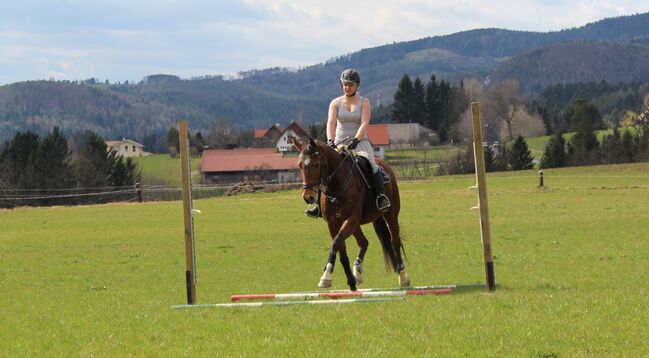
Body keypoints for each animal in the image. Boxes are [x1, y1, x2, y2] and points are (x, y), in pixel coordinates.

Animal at [294, 137, 410, 290]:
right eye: (300, 165)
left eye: (316, 164)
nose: (308, 197)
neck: (336, 187)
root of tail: (383, 164)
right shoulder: (333, 223)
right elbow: (341, 251)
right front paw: (351, 282)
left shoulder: (351, 219)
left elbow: (335, 243)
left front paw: (326, 276)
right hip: (356, 225)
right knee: (364, 242)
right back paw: (357, 272)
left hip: (390, 214)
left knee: (394, 241)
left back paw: (403, 277)